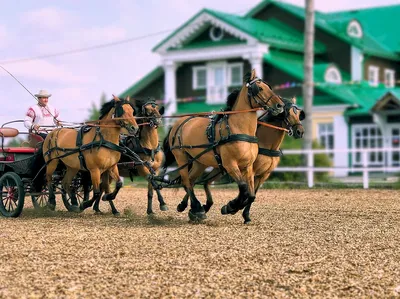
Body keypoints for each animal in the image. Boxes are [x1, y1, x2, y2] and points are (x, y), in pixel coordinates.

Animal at [162, 69, 284, 221]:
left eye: (269, 87)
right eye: (260, 88)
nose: (280, 106)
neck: (238, 129)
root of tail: (179, 123)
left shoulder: (248, 166)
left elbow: (251, 194)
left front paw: (233, 207)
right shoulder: (230, 165)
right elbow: (243, 188)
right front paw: (230, 206)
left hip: (199, 162)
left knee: (190, 180)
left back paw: (188, 207)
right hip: (181, 157)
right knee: (186, 181)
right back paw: (197, 208)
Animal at [177, 95, 304, 224]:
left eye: (299, 113)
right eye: (287, 112)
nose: (300, 131)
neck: (267, 144)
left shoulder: (263, 175)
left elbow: (252, 195)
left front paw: (243, 214)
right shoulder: (249, 170)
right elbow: (247, 193)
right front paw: (231, 207)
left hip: (212, 166)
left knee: (199, 181)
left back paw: (199, 208)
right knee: (191, 181)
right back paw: (193, 208)